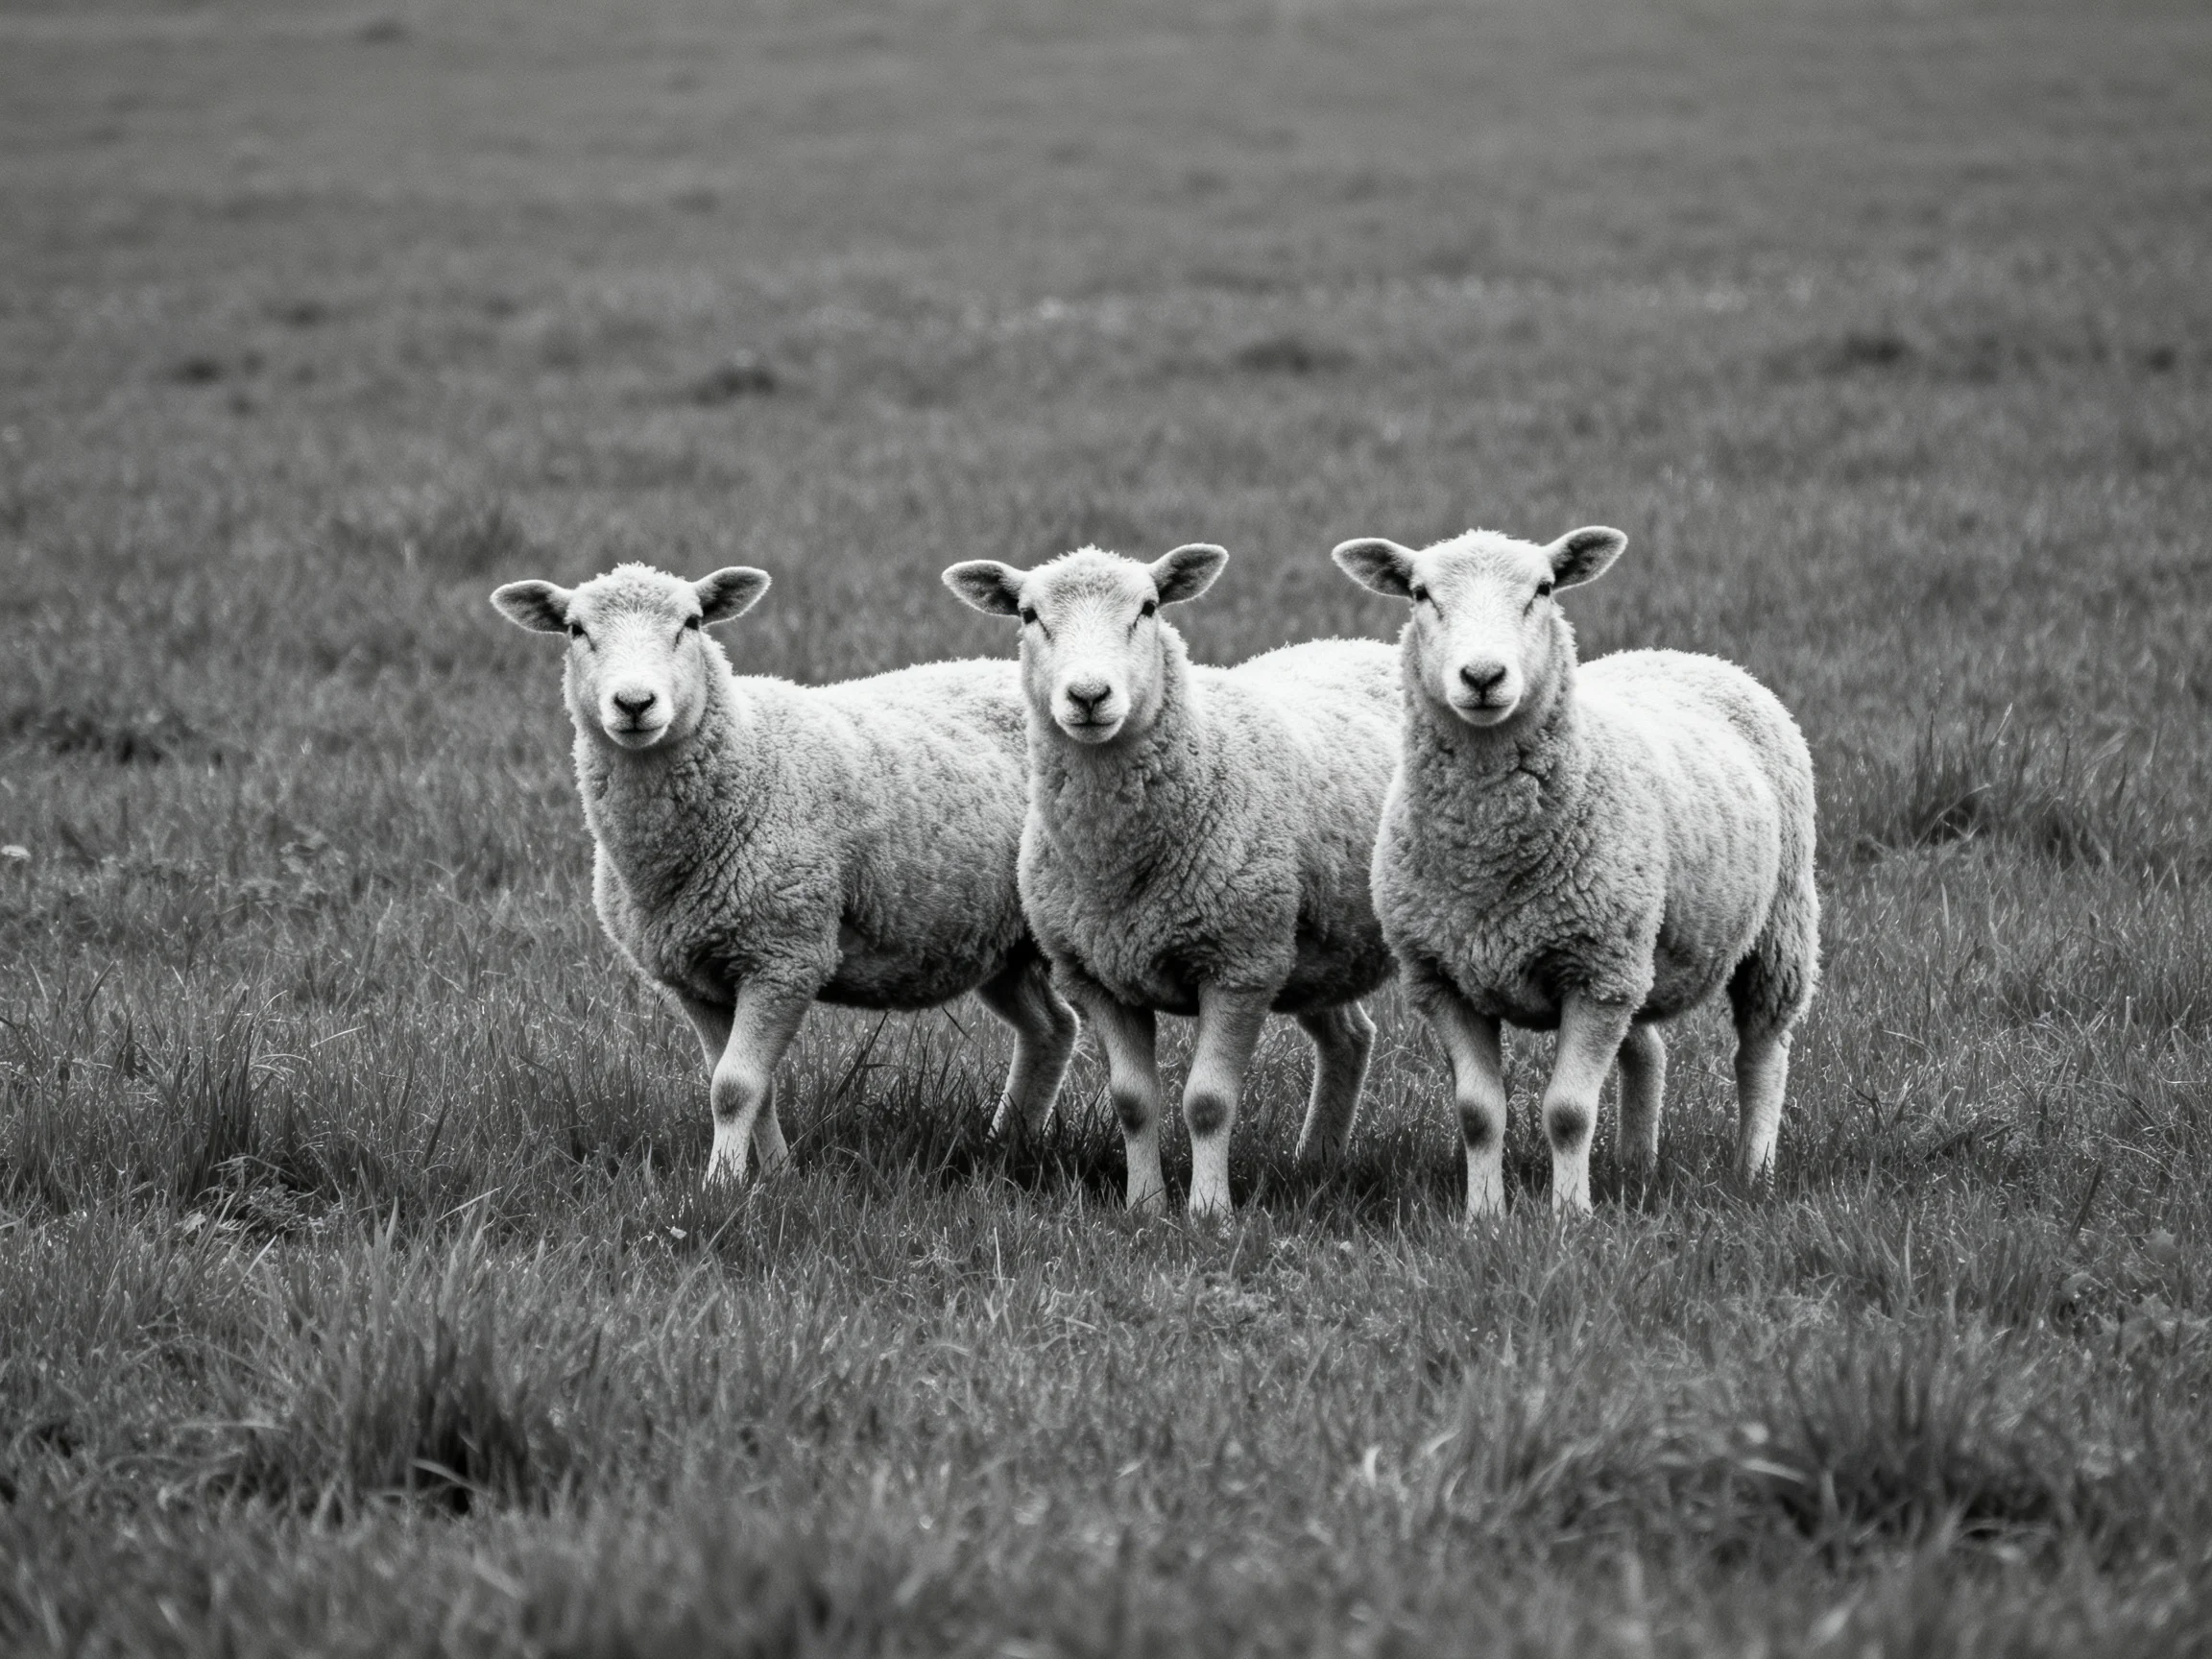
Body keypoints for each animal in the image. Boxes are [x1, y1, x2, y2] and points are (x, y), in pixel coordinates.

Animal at [489, 562, 1079, 1187]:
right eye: (576, 630)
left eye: (691, 623)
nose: (634, 703)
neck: (749, 758)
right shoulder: (694, 975)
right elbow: (751, 1085)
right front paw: (776, 1178)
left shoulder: (785, 956)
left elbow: (733, 1086)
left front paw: (720, 1186)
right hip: (998, 939)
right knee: (1051, 1028)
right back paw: (1007, 1146)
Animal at [943, 544, 1399, 1217]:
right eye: (1028, 615)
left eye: (1149, 607)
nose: (1088, 695)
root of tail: (1362, 643)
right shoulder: (1098, 976)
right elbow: (1134, 1102)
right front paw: (1145, 1207)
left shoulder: (1240, 966)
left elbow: (1207, 1102)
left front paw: (1209, 1212)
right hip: (1317, 952)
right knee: (1350, 1038)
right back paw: (1317, 1164)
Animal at [1331, 525, 1819, 1217]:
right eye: (1421, 594)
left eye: (1543, 589)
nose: (1483, 676)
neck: (1487, 850)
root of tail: (1682, 654)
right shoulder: (1444, 979)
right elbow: (1478, 1113)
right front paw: (1484, 1218)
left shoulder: (1595, 976)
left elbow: (1567, 1112)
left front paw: (1569, 1217)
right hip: (1637, 953)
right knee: (1648, 1050)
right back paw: (1636, 1166)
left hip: (1778, 927)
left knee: (1762, 1052)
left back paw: (1755, 1172)